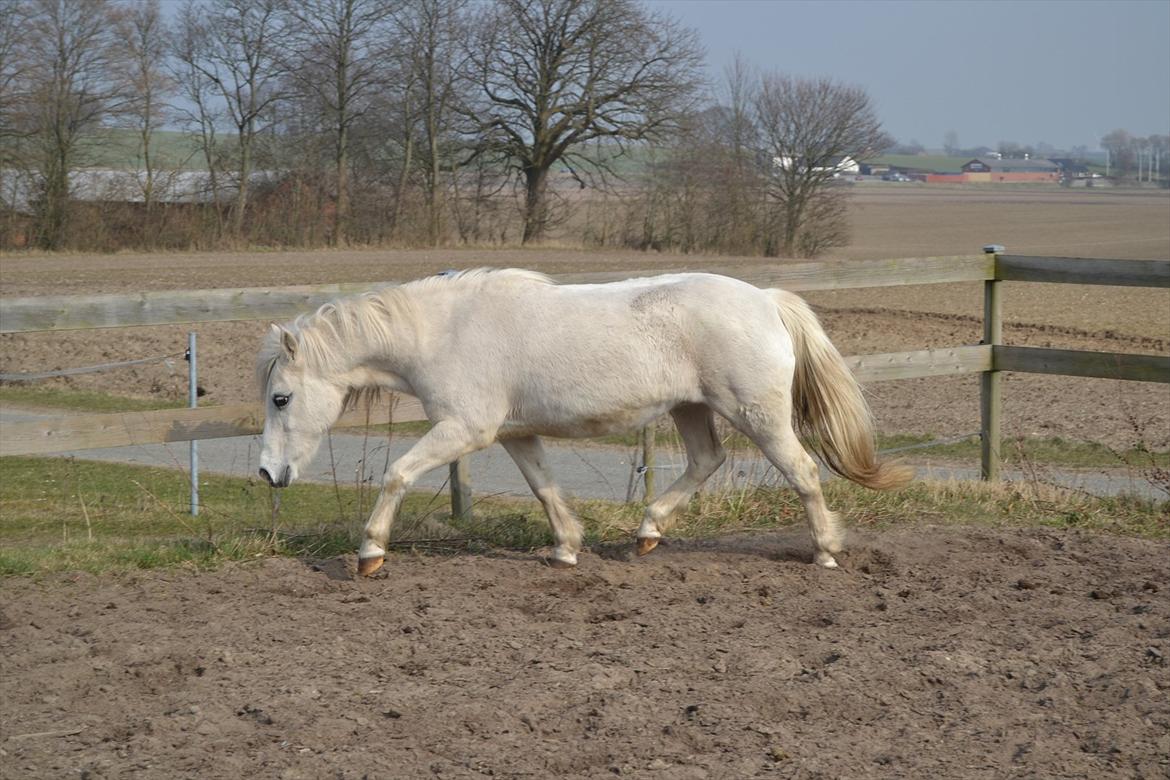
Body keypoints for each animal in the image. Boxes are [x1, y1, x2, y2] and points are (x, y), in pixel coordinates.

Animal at [258, 268, 912, 573]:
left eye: (281, 399)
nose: (267, 473)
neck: (443, 332)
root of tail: (766, 301)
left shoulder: (464, 430)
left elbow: (397, 473)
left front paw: (370, 552)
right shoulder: (515, 433)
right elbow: (545, 488)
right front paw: (566, 550)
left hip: (758, 414)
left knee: (802, 471)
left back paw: (825, 552)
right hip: (692, 408)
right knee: (706, 461)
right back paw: (647, 533)